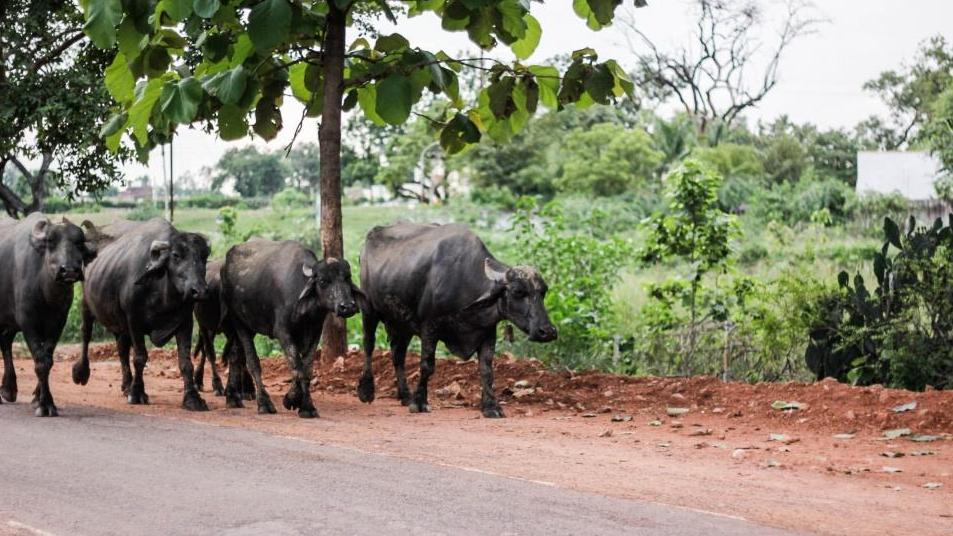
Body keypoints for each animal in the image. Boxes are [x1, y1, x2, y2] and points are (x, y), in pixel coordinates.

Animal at [0, 214, 96, 414]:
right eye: (51, 241)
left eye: (79, 243)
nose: (68, 270)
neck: (46, 291)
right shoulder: (28, 323)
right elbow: (41, 361)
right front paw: (45, 405)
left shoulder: (57, 323)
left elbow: (47, 359)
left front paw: (40, 399)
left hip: (10, 321)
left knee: (4, 341)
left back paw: (8, 389)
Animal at [72, 218, 210, 410]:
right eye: (176, 255)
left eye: (204, 257)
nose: (199, 291)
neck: (162, 293)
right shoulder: (134, 320)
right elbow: (139, 357)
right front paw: (137, 393)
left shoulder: (185, 323)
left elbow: (185, 362)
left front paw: (192, 398)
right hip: (87, 305)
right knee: (86, 334)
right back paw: (82, 373)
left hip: (120, 324)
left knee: (122, 349)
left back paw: (126, 385)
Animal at [219, 240, 360, 418]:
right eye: (322, 281)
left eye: (347, 278)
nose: (347, 306)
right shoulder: (283, 333)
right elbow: (297, 368)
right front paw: (298, 402)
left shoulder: (315, 333)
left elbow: (306, 369)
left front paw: (301, 403)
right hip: (239, 323)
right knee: (252, 362)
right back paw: (264, 403)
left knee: (235, 356)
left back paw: (232, 398)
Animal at [354, 222, 556, 418]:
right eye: (518, 291)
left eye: (543, 291)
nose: (547, 331)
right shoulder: (429, 327)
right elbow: (427, 365)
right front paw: (419, 402)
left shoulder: (487, 332)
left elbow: (486, 370)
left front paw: (491, 406)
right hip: (369, 311)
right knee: (369, 345)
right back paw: (367, 391)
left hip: (401, 323)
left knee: (398, 354)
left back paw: (404, 395)